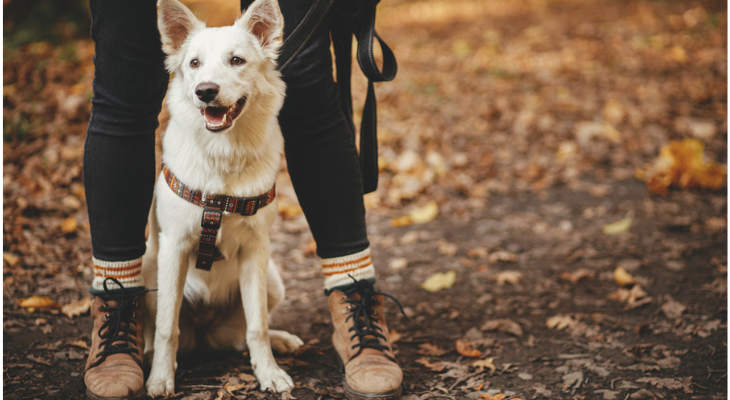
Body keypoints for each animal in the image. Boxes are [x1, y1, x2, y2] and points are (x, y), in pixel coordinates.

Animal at [141, 0, 300, 396]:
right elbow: (166, 328)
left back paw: (280, 340)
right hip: (147, 274)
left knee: (244, 334)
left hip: (273, 280)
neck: (223, 158)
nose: (205, 91)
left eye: (237, 60)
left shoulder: (256, 250)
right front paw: (160, 378)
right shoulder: (173, 248)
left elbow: (257, 326)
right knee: (159, 330)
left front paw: (269, 373)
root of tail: (205, 332)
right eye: (194, 63)